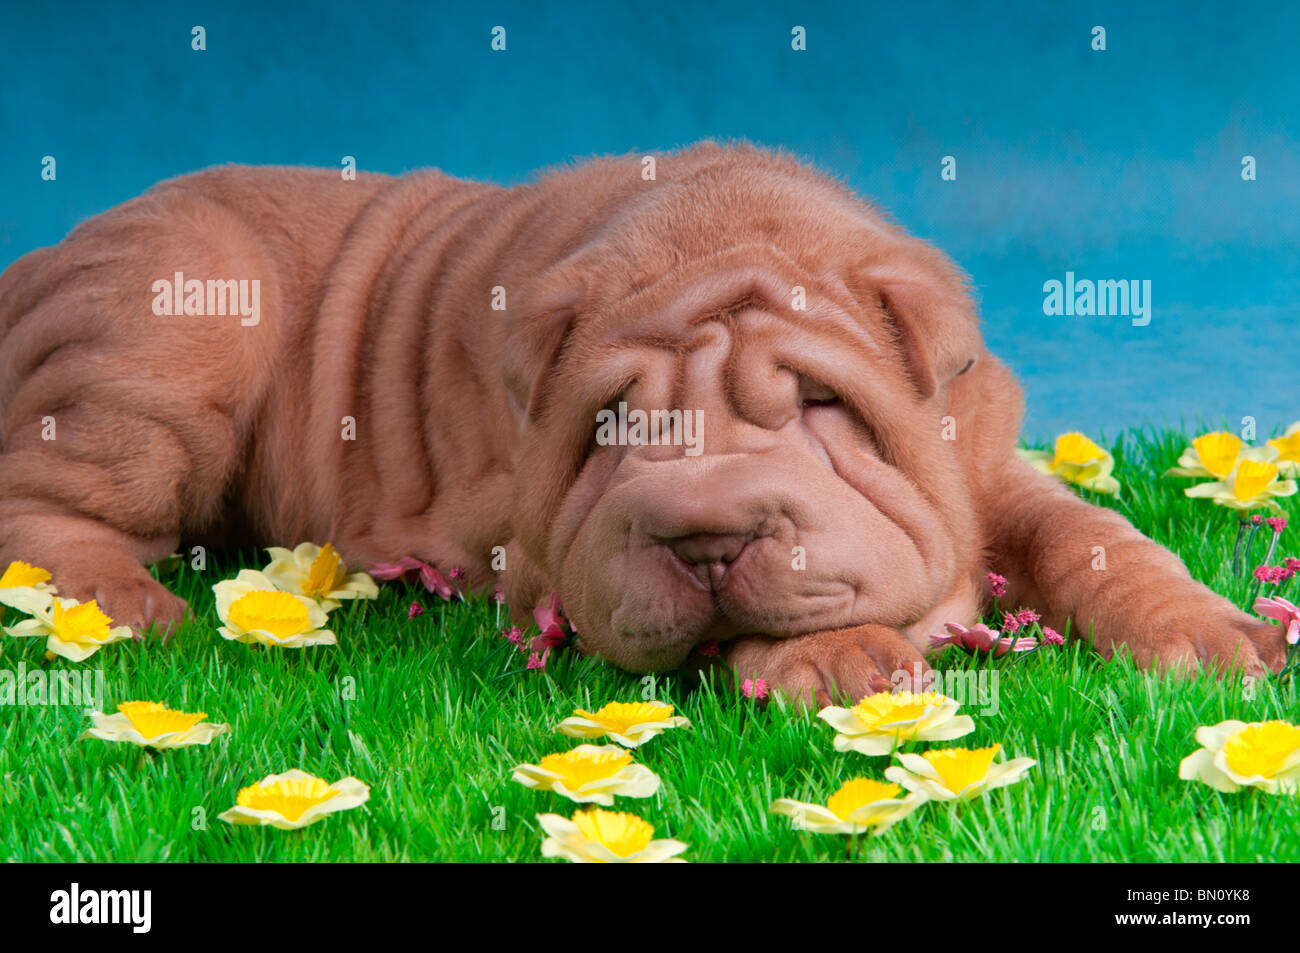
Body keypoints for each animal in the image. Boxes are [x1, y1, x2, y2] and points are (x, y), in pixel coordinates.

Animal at [0, 144, 1279, 702]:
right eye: (611, 421)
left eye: (821, 404)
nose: (705, 534)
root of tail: (40, 258)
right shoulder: (543, 560)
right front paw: (844, 656)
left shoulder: (983, 454)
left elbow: (1088, 535)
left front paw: (1215, 636)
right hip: (178, 323)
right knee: (42, 499)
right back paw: (118, 603)